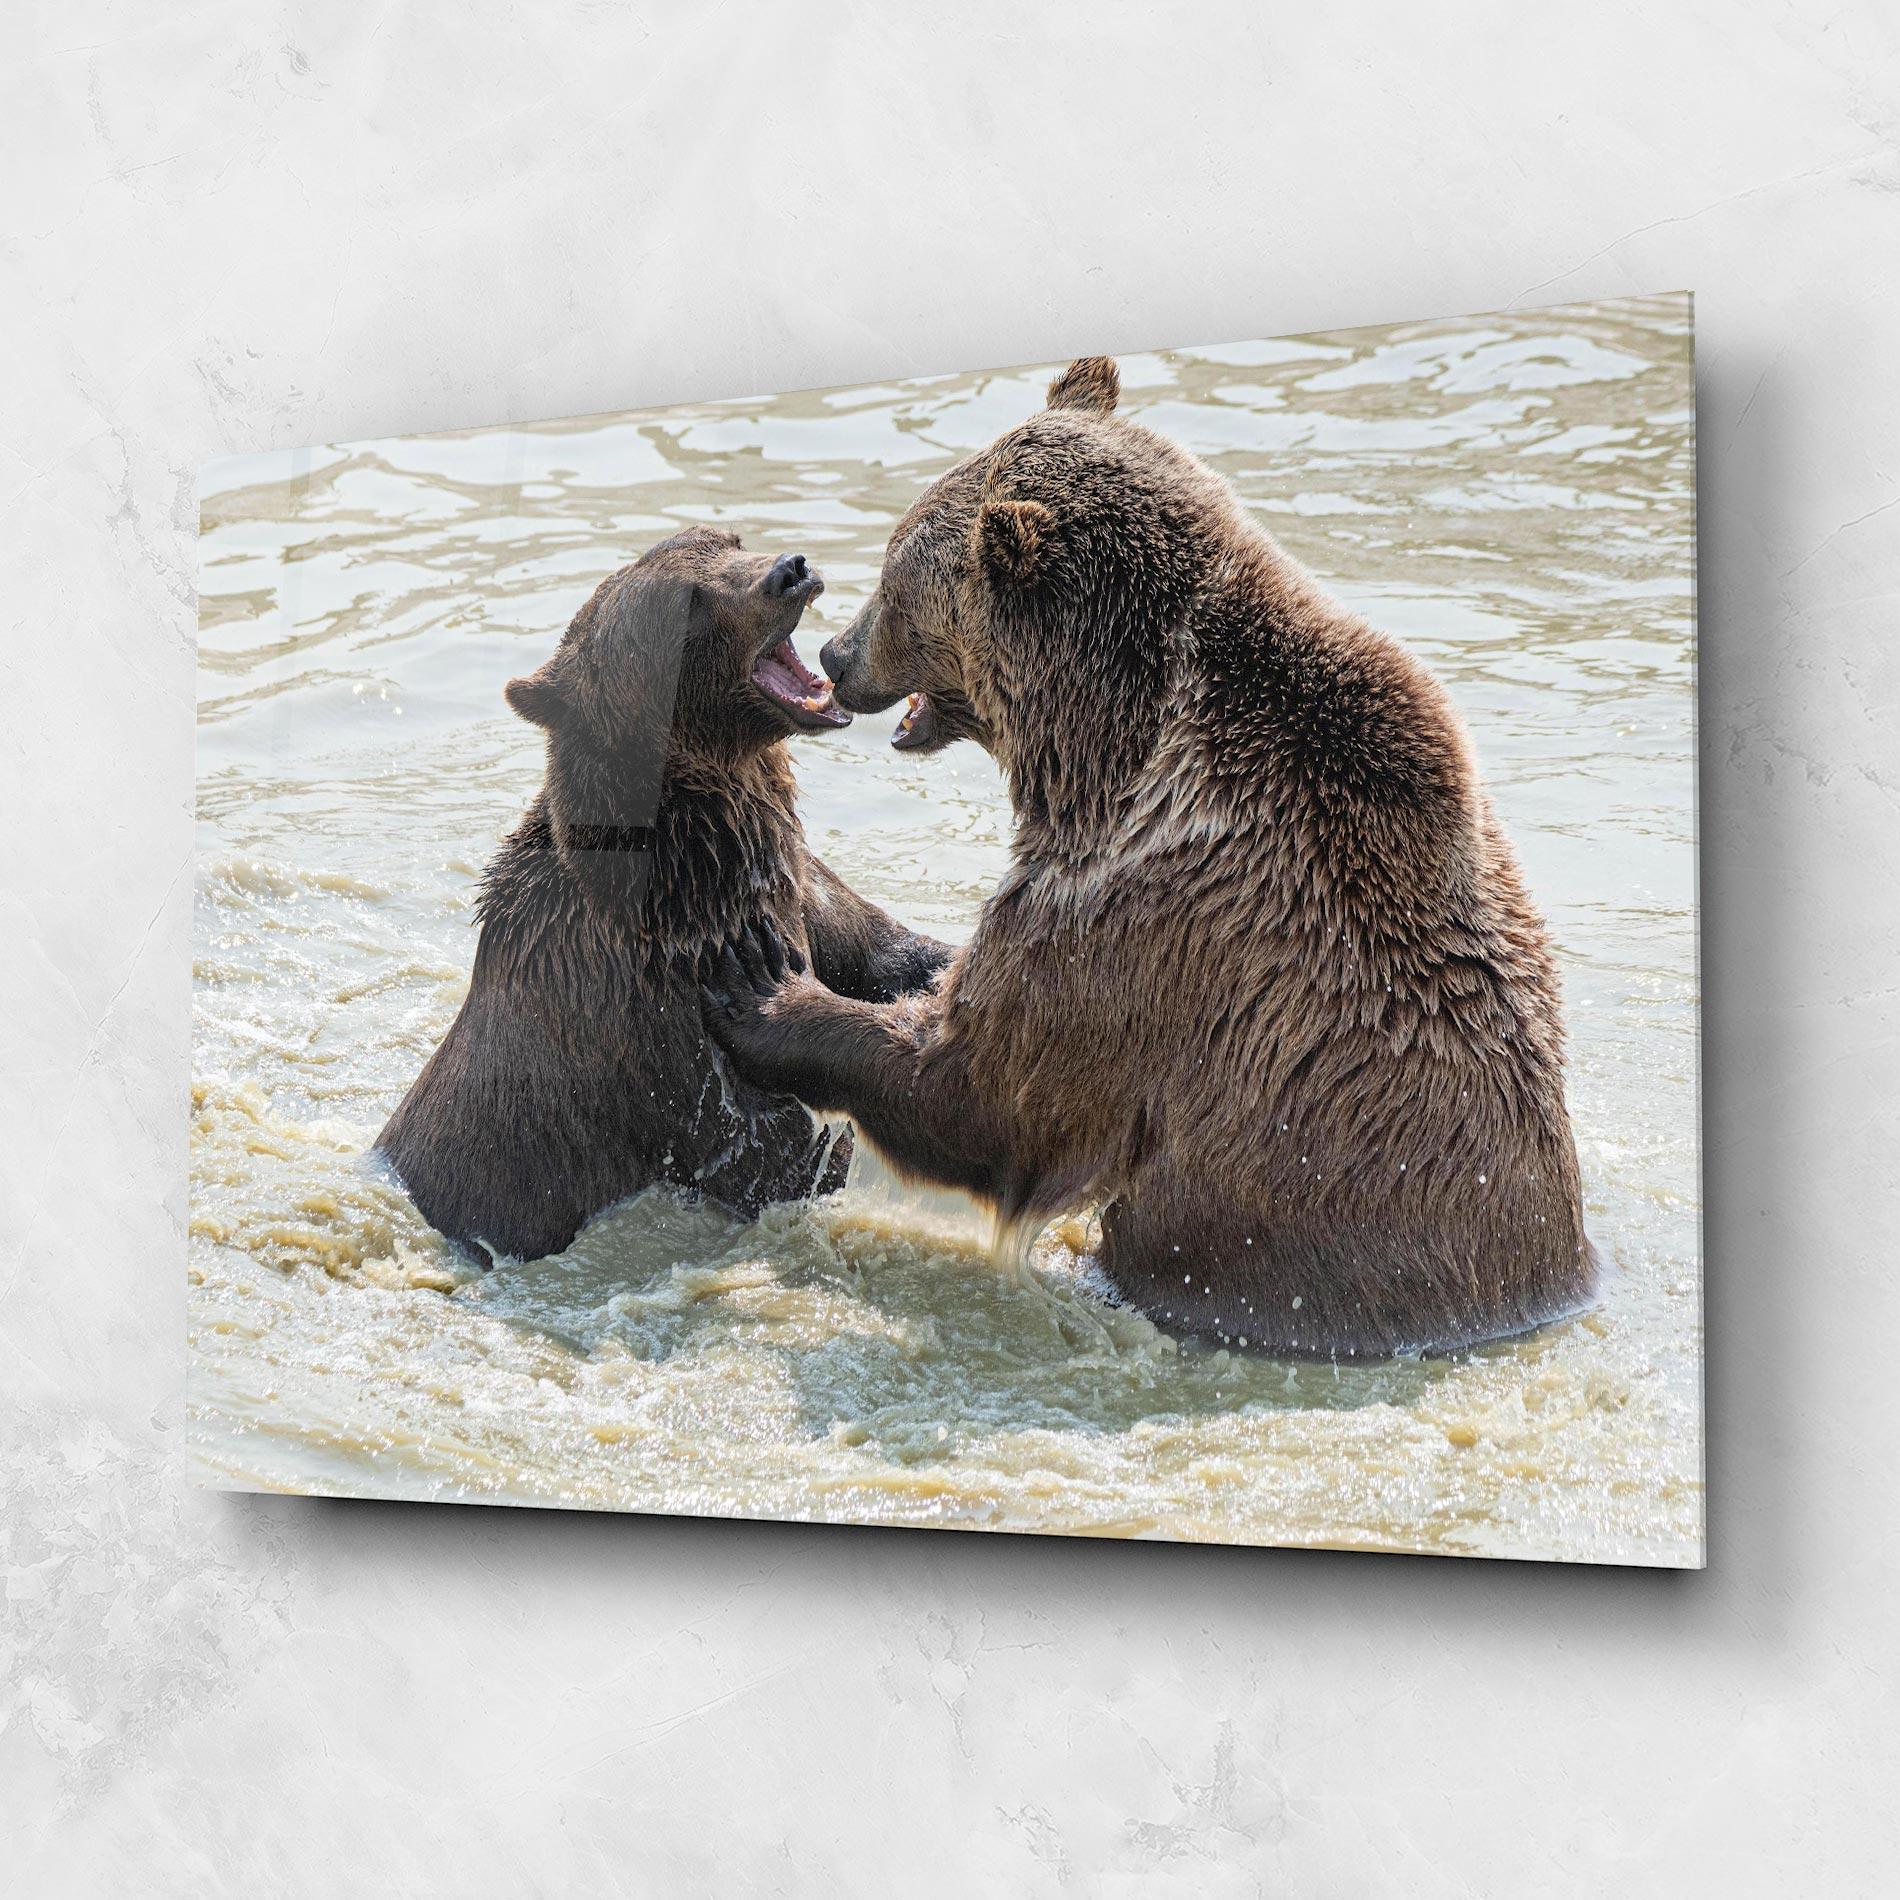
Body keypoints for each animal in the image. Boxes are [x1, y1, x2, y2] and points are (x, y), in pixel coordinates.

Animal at [375, 526, 949, 1264]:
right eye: (687, 601)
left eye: (724, 539)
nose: (789, 571)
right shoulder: (657, 1026)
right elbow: (769, 1149)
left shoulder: (799, 887)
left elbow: (884, 950)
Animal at [700, 357, 1595, 1359]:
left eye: (896, 583)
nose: (836, 652)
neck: (1105, 750)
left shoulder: (1144, 918)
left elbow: (984, 1088)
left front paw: (766, 990)